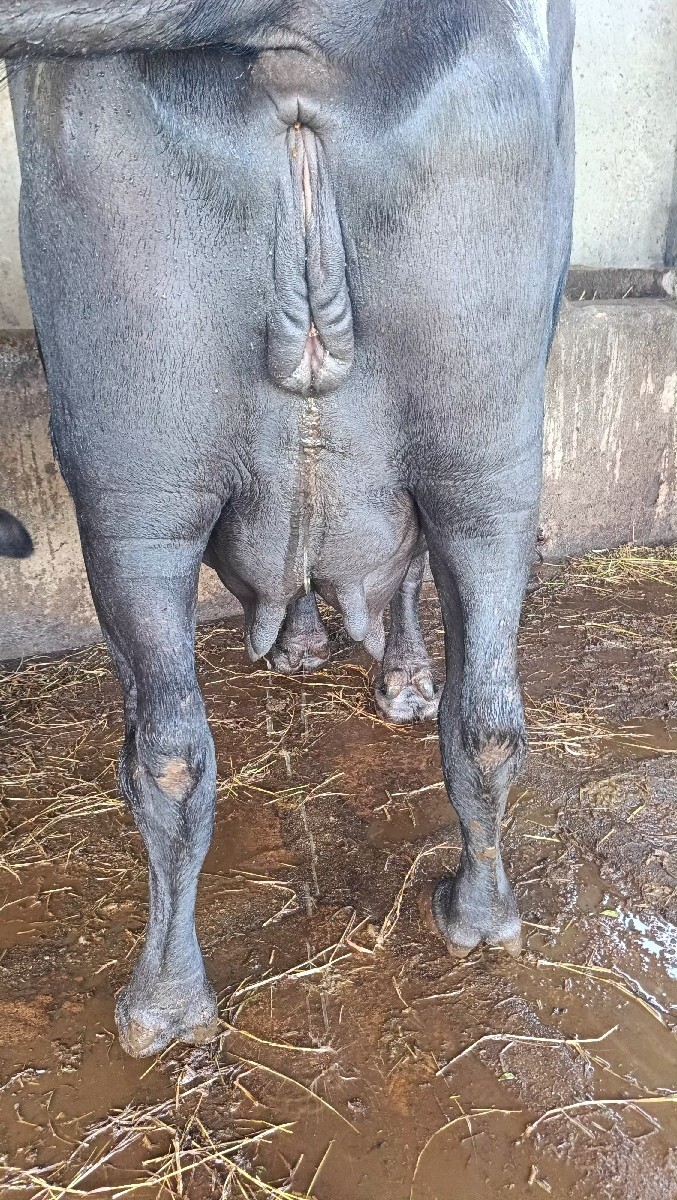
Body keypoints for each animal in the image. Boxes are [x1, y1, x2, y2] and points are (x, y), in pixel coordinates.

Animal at [1, 0, 575, 1057]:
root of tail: (316, 27)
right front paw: (366, 667)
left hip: (132, 482)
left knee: (169, 754)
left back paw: (162, 1005)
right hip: (482, 455)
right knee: (484, 713)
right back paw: (475, 918)